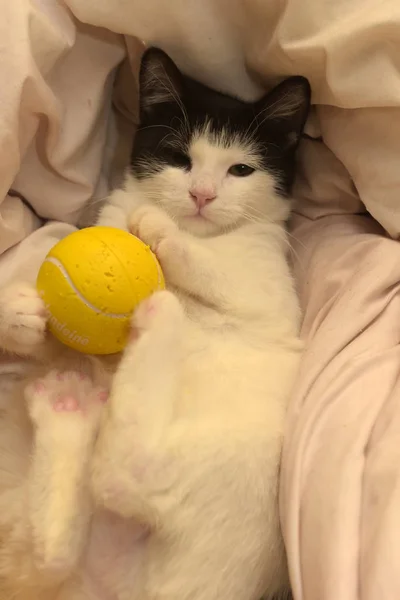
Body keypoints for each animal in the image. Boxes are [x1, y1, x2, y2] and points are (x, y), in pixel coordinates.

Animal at [0, 49, 310, 600]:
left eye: (241, 169)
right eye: (179, 157)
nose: (202, 195)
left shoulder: (268, 291)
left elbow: (220, 274)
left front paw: (159, 230)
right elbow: (55, 340)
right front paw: (22, 316)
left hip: (235, 458)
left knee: (128, 474)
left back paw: (157, 318)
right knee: (54, 550)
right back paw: (64, 411)